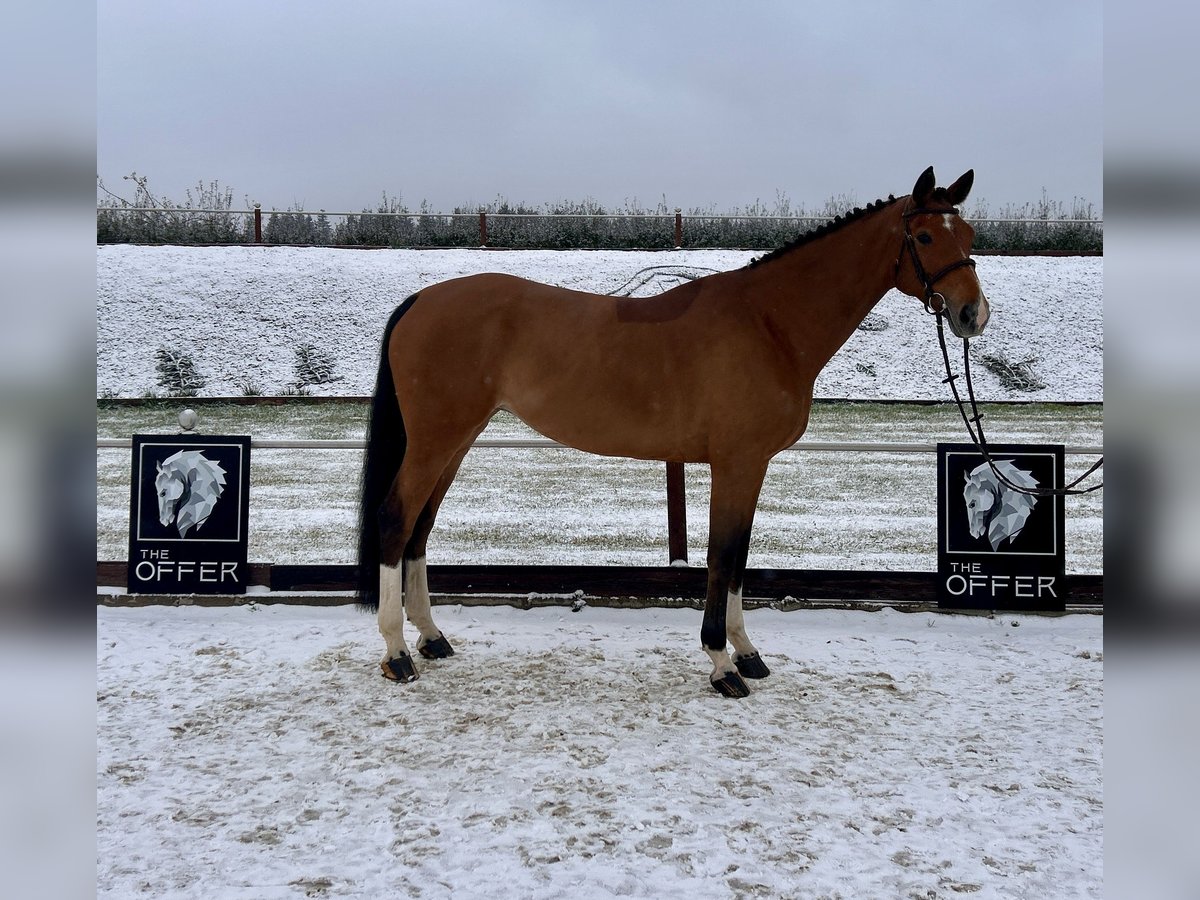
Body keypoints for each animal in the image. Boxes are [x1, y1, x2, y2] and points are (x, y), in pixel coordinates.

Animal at [357, 165, 993, 696]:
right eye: (925, 238)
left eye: (968, 235)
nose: (972, 315)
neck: (769, 324)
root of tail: (421, 299)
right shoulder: (737, 462)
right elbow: (721, 554)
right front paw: (722, 664)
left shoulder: (751, 466)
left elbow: (737, 557)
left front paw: (747, 653)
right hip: (436, 440)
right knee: (396, 518)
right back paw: (397, 654)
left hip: (455, 442)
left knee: (419, 529)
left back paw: (432, 639)